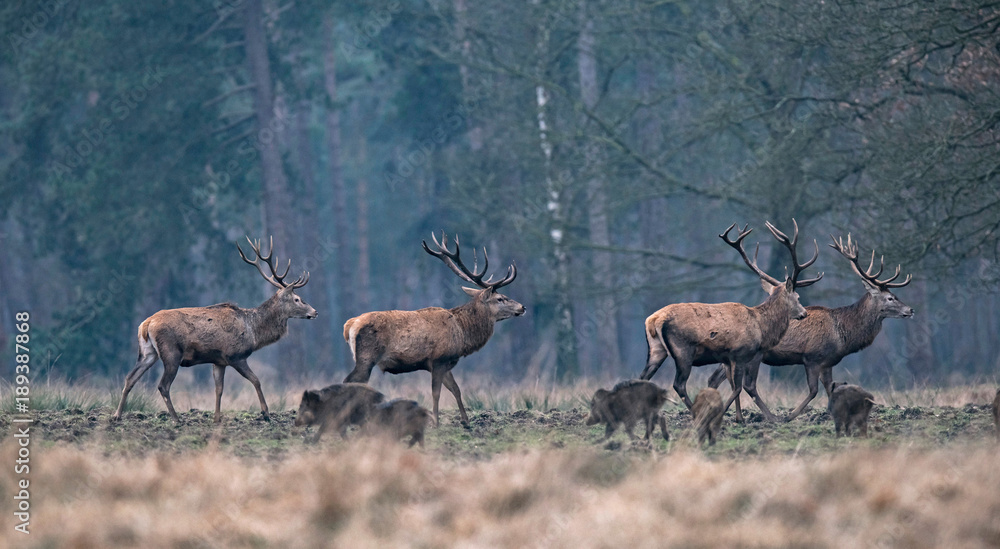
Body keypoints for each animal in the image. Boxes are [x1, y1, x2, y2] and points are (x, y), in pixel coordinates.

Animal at [111, 237, 317, 424]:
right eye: (297, 299)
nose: (315, 312)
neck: (253, 331)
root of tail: (146, 324)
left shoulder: (218, 361)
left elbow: (219, 389)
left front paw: (217, 418)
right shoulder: (236, 356)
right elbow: (256, 380)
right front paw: (266, 414)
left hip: (148, 352)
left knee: (130, 378)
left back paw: (117, 415)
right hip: (171, 352)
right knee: (163, 385)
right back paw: (177, 419)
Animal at [342, 232, 525, 427]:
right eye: (500, 298)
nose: (522, 307)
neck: (462, 332)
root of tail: (350, 325)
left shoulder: (446, 362)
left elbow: (456, 389)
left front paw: (466, 422)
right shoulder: (438, 359)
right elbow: (436, 393)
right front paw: (436, 422)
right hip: (367, 357)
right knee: (351, 382)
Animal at [639, 220, 823, 423]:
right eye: (797, 297)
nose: (804, 313)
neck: (761, 327)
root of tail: (654, 320)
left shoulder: (727, 359)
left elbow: (734, 385)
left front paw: (739, 418)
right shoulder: (742, 353)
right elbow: (743, 387)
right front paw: (771, 417)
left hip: (656, 350)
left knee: (643, 378)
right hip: (683, 350)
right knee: (678, 384)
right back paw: (696, 413)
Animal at [707, 233, 913, 421]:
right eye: (890, 298)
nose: (910, 309)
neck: (843, 334)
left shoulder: (828, 362)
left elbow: (830, 388)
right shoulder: (813, 357)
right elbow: (814, 391)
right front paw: (791, 416)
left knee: (718, 379)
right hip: (754, 355)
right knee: (746, 385)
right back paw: (769, 418)